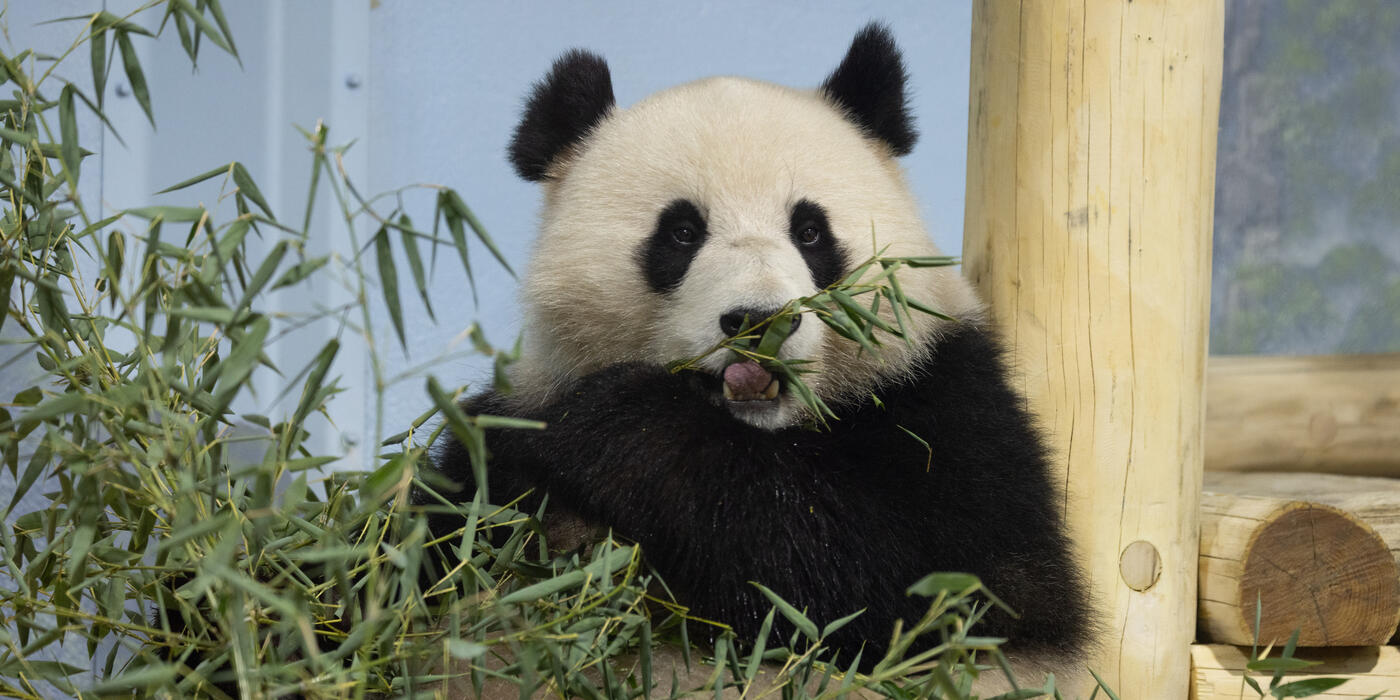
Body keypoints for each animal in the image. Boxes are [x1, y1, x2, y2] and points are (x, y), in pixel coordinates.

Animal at [427, 23, 1092, 692]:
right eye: (682, 232)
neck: (761, 435)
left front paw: (612, 423)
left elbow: (922, 586)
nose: (758, 321)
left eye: (811, 231)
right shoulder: (490, 459)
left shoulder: (952, 407)